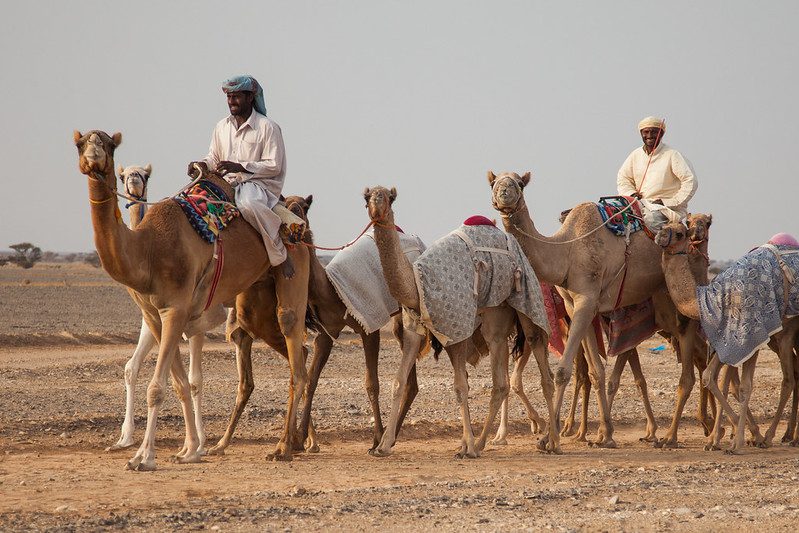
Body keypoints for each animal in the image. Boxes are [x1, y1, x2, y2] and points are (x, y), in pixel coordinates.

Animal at [73, 131, 310, 468]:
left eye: (108, 145)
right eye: (80, 144)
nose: (93, 156)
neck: (148, 248)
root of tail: (295, 221)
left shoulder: (178, 310)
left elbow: (161, 386)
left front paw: (145, 457)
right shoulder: (155, 316)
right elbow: (178, 383)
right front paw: (186, 449)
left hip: (291, 278)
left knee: (295, 349)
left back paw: (284, 447)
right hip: (252, 305)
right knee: (297, 353)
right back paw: (295, 442)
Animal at [364, 185, 556, 456]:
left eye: (389, 198)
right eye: (366, 197)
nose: (375, 208)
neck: (418, 284)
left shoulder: (457, 328)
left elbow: (460, 386)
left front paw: (467, 449)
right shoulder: (414, 328)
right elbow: (399, 382)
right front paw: (382, 446)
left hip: (525, 306)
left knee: (542, 368)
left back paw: (551, 442)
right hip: (496, 320)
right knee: (501, 382)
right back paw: (484, 441)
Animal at [488, 170, 708, 444]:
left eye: (519, 183)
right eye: (493, 182)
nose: (504, 194)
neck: (567, 250)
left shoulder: (587, 299)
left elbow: (563, 371)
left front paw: (550, 439)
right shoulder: (575, 306)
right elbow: (595, 372)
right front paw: (605, 433)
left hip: (682, 299)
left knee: (691, 363)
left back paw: (681, 435)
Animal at [656, 222, 799, 450]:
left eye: (680, 233)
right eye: (664, 225)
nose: (660, 234)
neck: (711, 298)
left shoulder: (750, 335)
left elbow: (742, 386)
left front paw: (740, 441)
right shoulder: (729, 340)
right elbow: (714, 379)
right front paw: (717, 439)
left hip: (787, 334)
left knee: (788, 379)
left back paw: (772, 436)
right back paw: (788, 435)